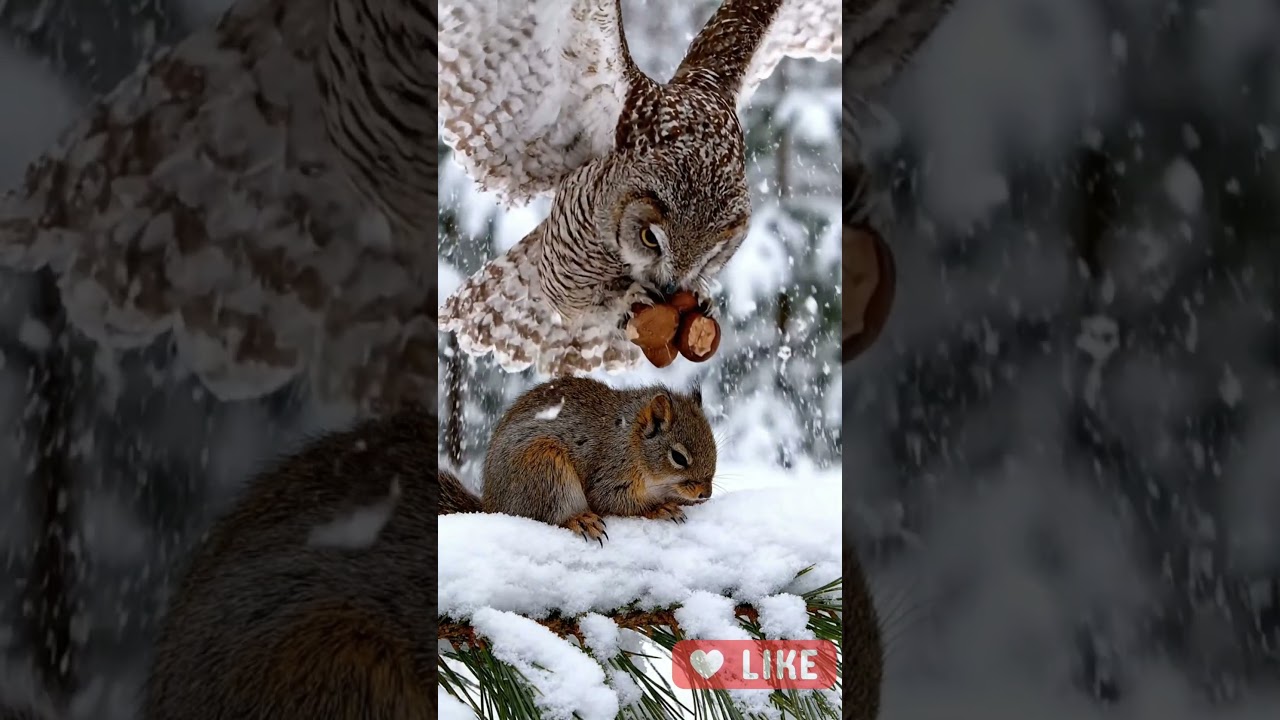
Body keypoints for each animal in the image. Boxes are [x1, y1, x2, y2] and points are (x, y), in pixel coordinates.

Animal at [440, 377, 717, 543]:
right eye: (678, 457)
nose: (706, 493)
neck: (631, 442)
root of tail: (492, 505)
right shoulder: (611, 473)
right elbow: (615, 501)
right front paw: (660, 508)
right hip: (545, 468)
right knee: (548, 517)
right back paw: (580, 520)